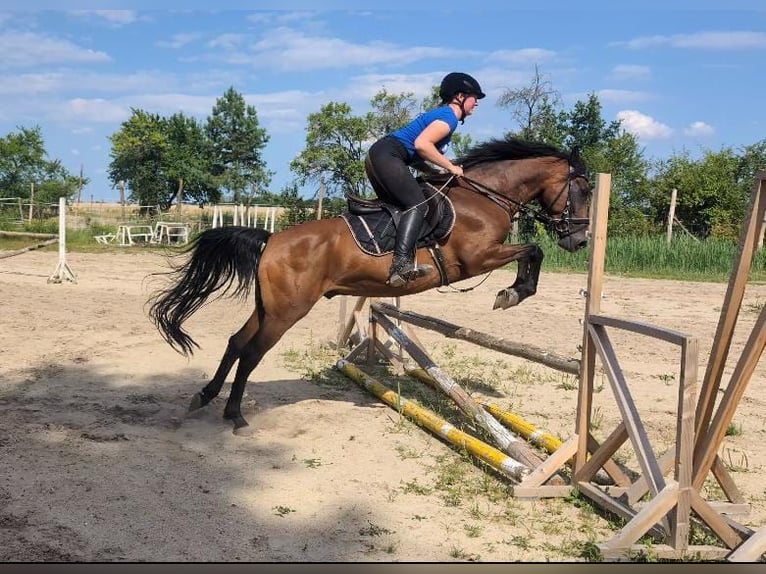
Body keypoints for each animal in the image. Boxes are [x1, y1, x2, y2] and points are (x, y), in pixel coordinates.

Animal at [148, 137, 592, 434]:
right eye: (585, 190)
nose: (580, 241)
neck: (486, 197)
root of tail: (271, 240)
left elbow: (532, 250)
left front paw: (514, 291)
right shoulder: (476, 258)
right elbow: (533, 249)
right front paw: (512, 293)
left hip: (268, 307)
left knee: (237, 342)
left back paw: (207, 398)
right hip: (287, 310)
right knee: (253, 351)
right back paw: (236, 415)